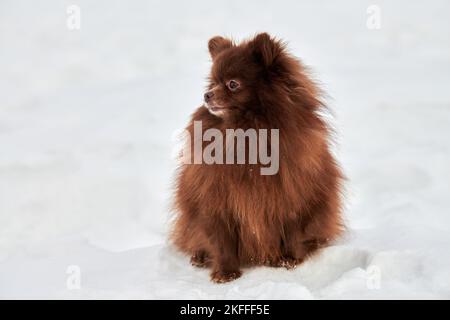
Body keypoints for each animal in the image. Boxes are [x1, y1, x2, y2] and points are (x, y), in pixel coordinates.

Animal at [171, 32, 342, 282]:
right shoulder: (216, 199)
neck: (246, 131)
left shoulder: (294, 194)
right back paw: (200, 257)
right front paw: (226, 273)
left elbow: (293, 231)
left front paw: (289, 260)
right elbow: (221, 240)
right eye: (212, 83)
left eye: (232, 84)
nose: (207, 95)